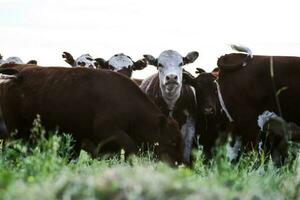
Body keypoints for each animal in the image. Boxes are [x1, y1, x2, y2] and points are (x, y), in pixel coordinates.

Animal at [0, 66, 185, 165]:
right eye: (172, 140)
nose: (179, 163)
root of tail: (17, 76)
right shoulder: (109, 132)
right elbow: (130, 147)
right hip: (16, 132)